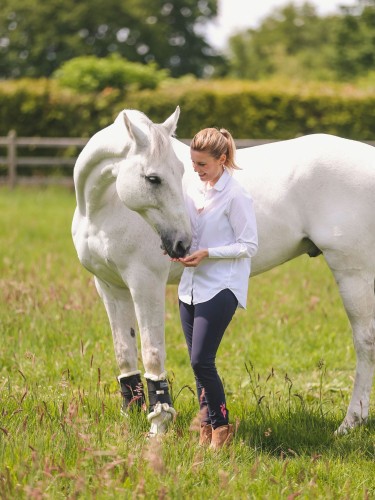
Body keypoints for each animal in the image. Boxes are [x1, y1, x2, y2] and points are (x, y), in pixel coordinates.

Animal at [73, 107, 375, 436]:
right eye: (153, 178)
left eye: (181, 171)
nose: (182, 243)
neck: (103, 208)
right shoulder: (109, 286)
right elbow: (124, 351)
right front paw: (130, 416)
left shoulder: (145, 283)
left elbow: (152, 353)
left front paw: (158, 426)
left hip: (354, 273)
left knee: (365, 342)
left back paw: (350, 422)